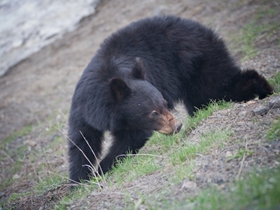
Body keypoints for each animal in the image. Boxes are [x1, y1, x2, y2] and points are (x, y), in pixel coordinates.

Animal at [68, 15, 274, 183]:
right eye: (153, 112)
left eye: (164, 104)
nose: (177, 126)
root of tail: (202, 28)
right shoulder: (82, 111)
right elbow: (81, 143)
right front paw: (79, 181)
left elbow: (131, 139)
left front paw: (102, 170)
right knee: (204, 98)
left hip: (198, 61)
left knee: (219, 86)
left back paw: (264, 88)